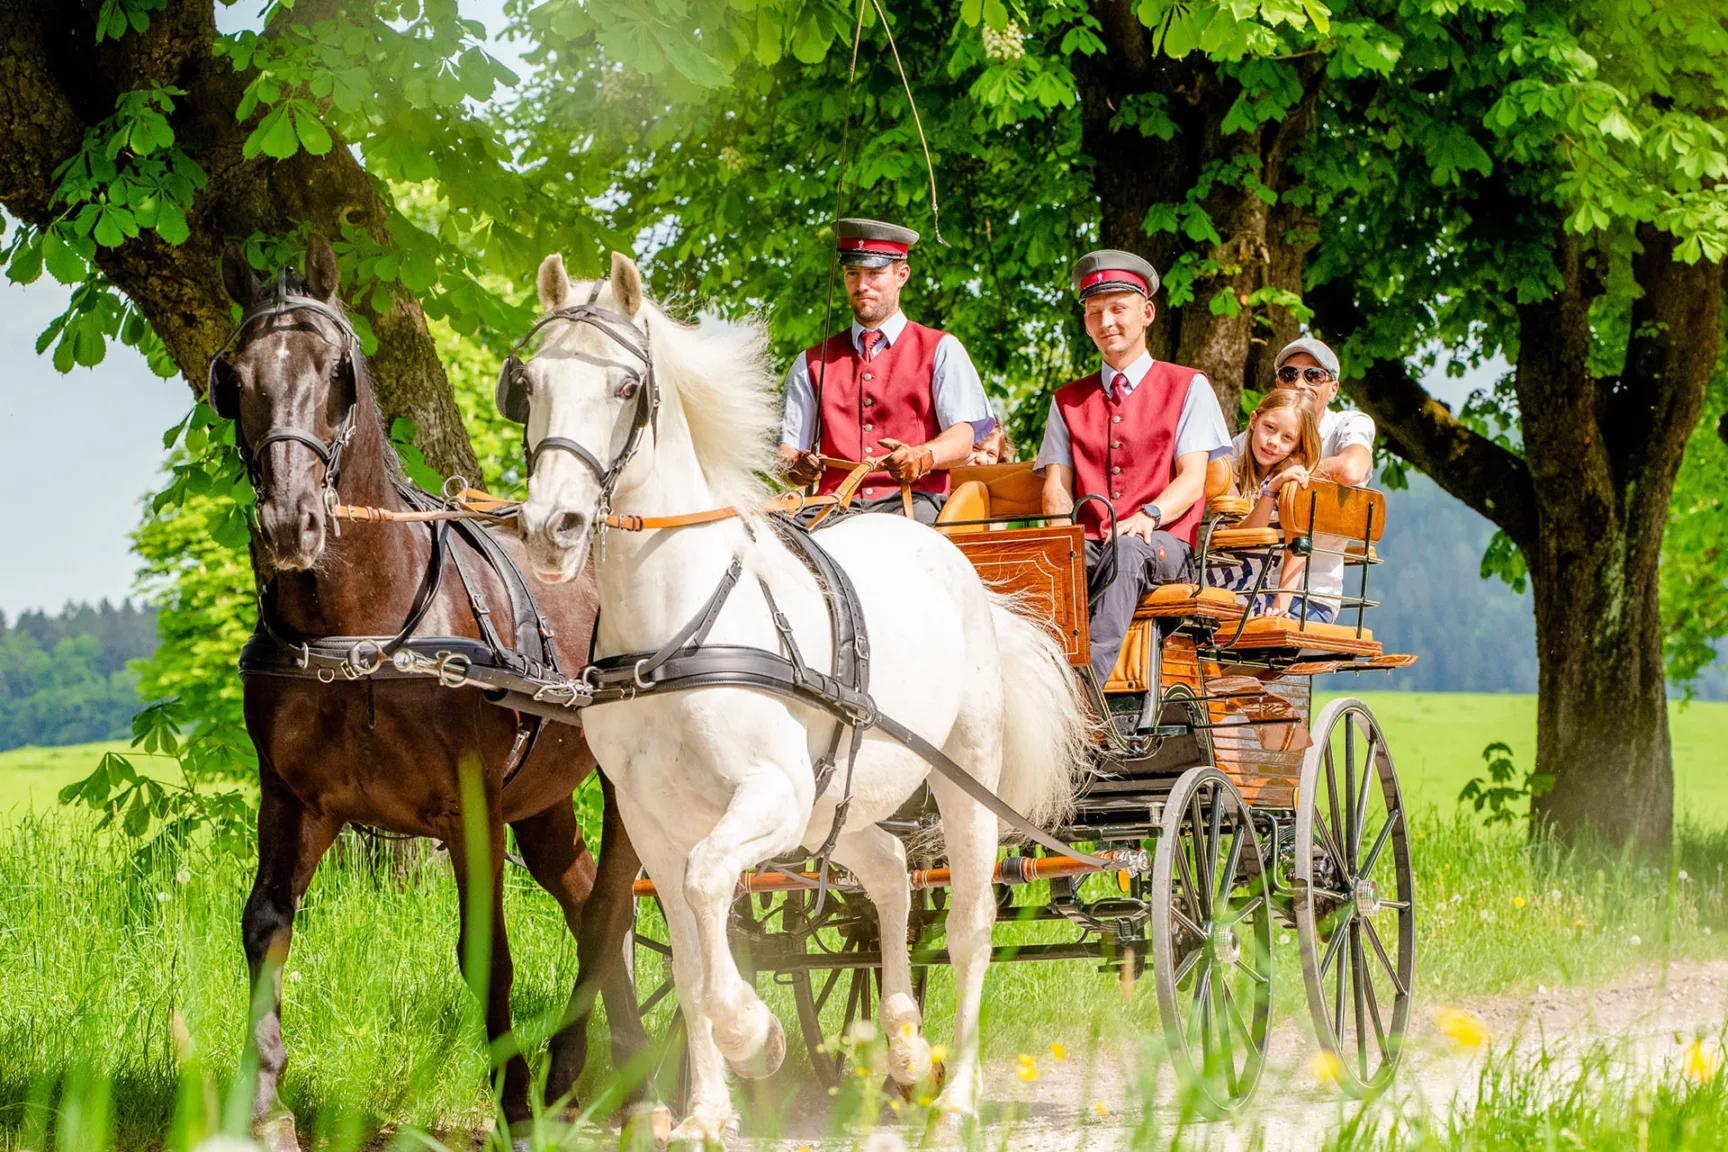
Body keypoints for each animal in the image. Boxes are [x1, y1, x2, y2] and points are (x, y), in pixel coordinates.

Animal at [216, 236, 649, 1152]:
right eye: (232, 376)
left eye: (337, 369)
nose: (289, 524)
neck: (361, 630)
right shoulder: (293, 798)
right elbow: (265, 926)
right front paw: (262, 1101)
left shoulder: (471, 808)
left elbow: (487, 955)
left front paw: (516, 1104)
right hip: (542, 796)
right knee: (587, 892)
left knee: (607, 907)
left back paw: (609, 1078)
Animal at [504, 252, 1085, 1146]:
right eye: (528, 383)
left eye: (627, 386)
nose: (551, 526)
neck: (676, 635)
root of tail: (951, 557)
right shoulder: (654, 821)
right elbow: (691, 952)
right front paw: (709, 1110)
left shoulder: (765, 796)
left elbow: (710, 889)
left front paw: (756, 1038)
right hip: (830, 809)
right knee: (886, 874)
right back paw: (904, 1048)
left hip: (960, 776)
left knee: (969, 926)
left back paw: (955, 1094)